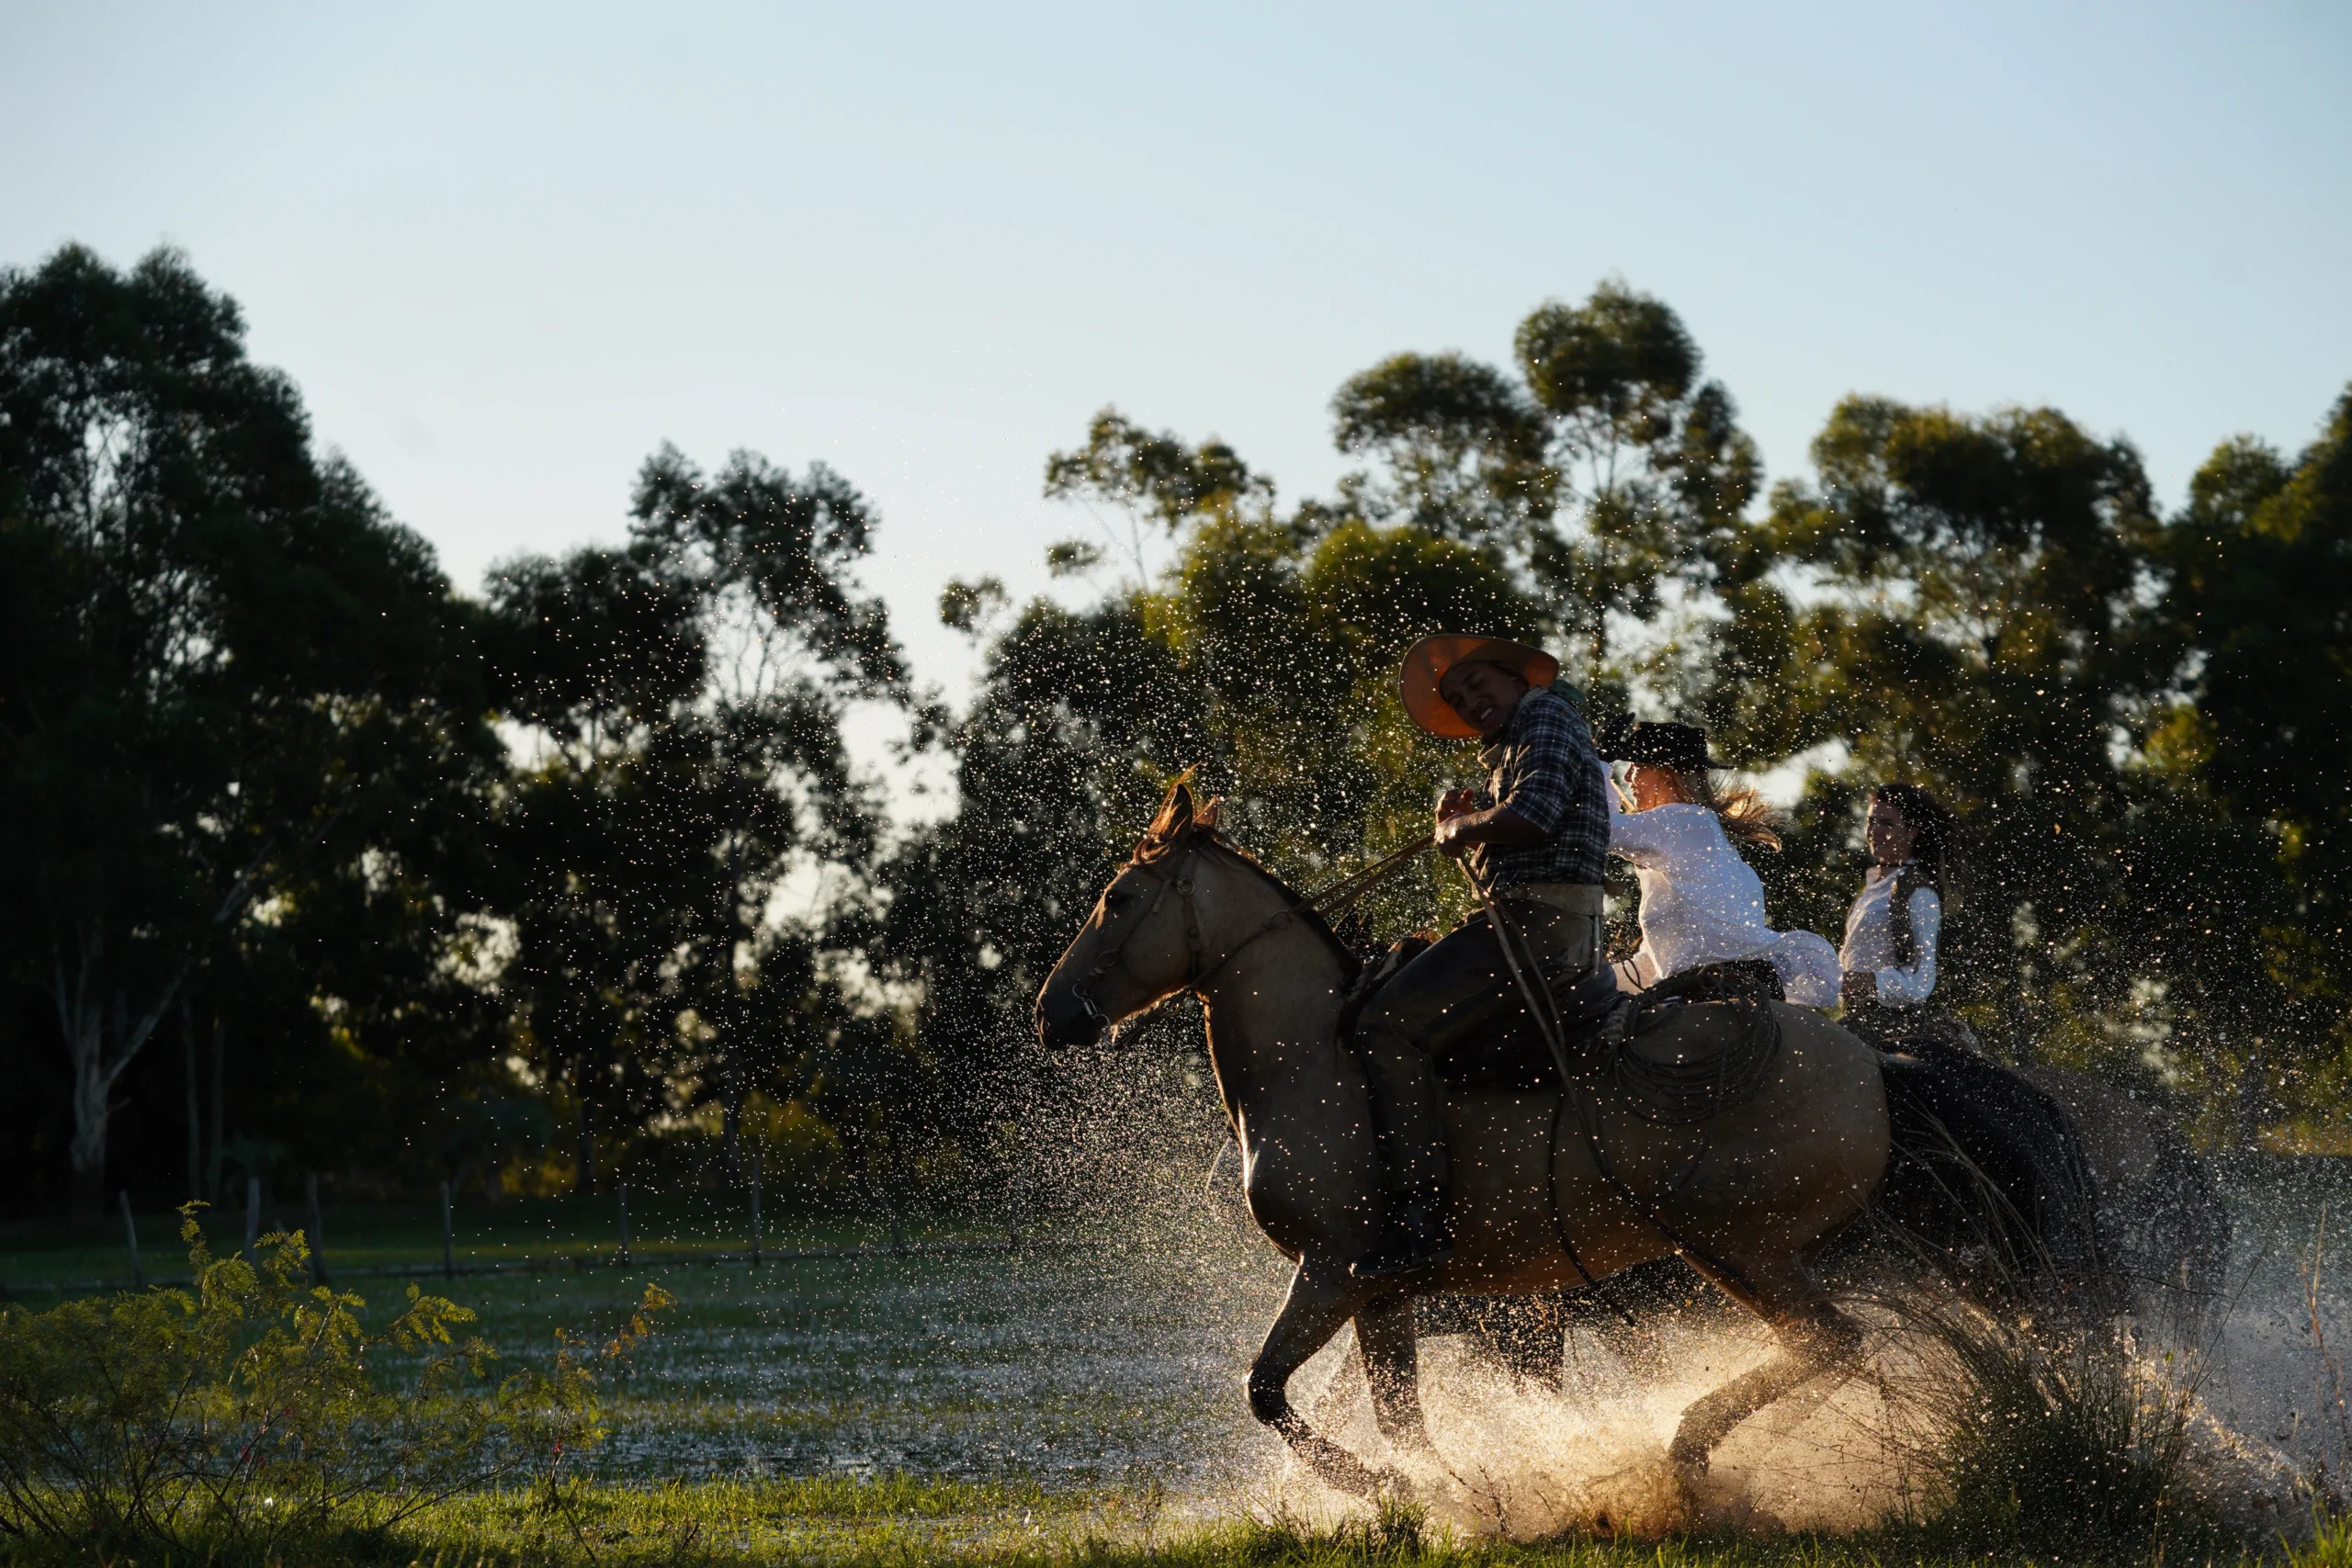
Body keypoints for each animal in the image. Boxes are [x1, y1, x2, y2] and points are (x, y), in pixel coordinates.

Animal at [1033, 778, 1894, 1498]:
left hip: (1737, 1245)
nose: (1051, 1011)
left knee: (1832, 1341)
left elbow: (1268, 1389)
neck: (1317, 1057)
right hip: (1732, 1253)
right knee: (1831, 1348)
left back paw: (1683, 1449)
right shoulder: (1384, 1294)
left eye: (1118, 897)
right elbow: (1395, 1414)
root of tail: (1870, 1063)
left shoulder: (1332, 1270)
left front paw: (1392, 1486)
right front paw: (1451, 1493)